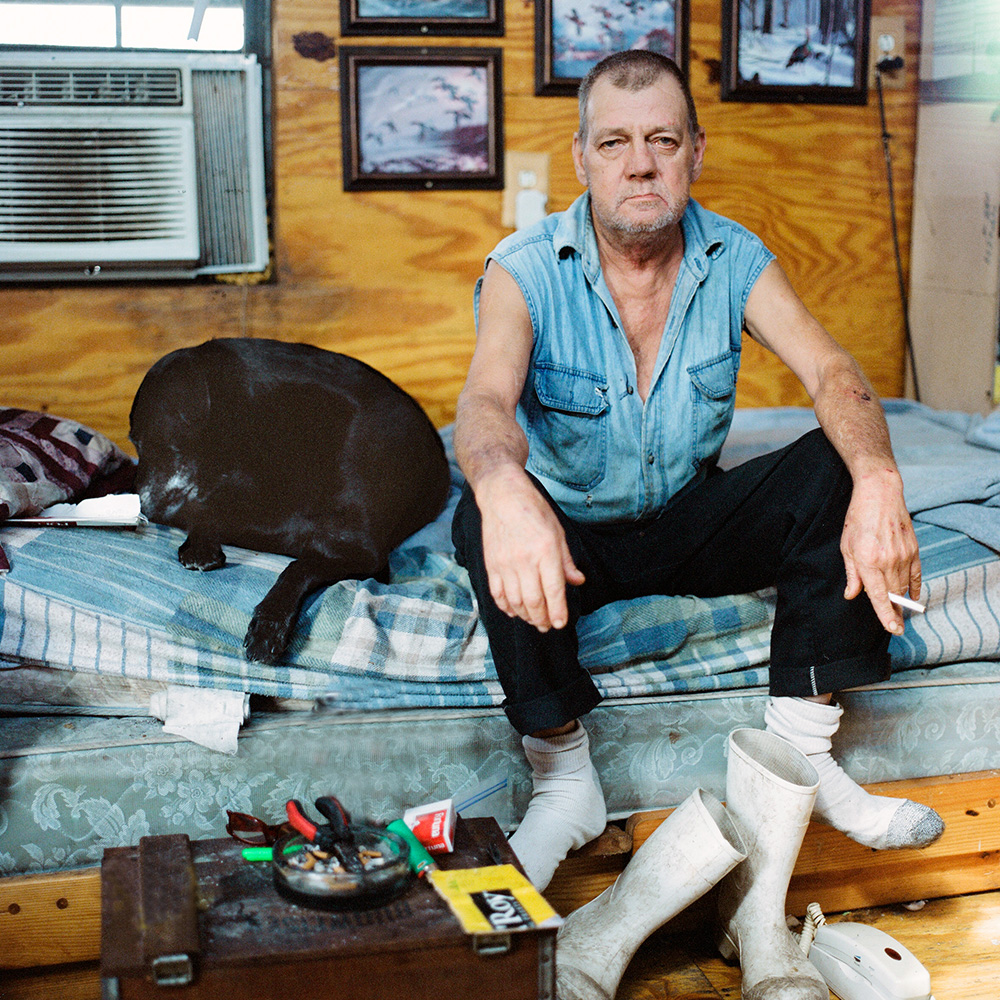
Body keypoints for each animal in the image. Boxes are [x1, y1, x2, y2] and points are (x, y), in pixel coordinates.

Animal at [128, 340, 450, 668]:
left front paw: (268, 625)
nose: (142, 506)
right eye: (133, 442)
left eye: (157, 441)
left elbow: (298, 566)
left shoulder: (367, 555)